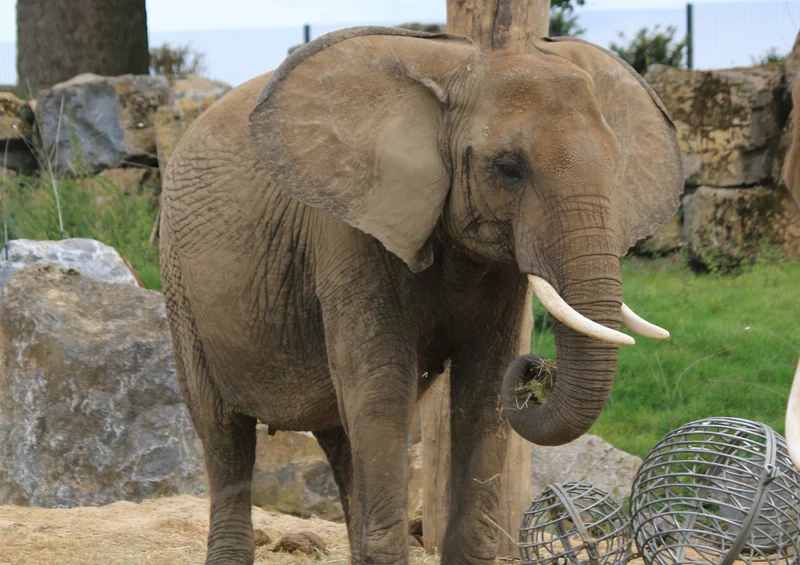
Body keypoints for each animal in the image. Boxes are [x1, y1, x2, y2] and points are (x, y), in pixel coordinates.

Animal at [159, 26, 683, 565]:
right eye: (508, 167)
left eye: (618, 169)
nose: (537, 368)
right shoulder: (351, 227)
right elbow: (382, 384)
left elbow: (484, 386)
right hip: (180, 281)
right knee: (223, 431)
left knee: (341, 437)